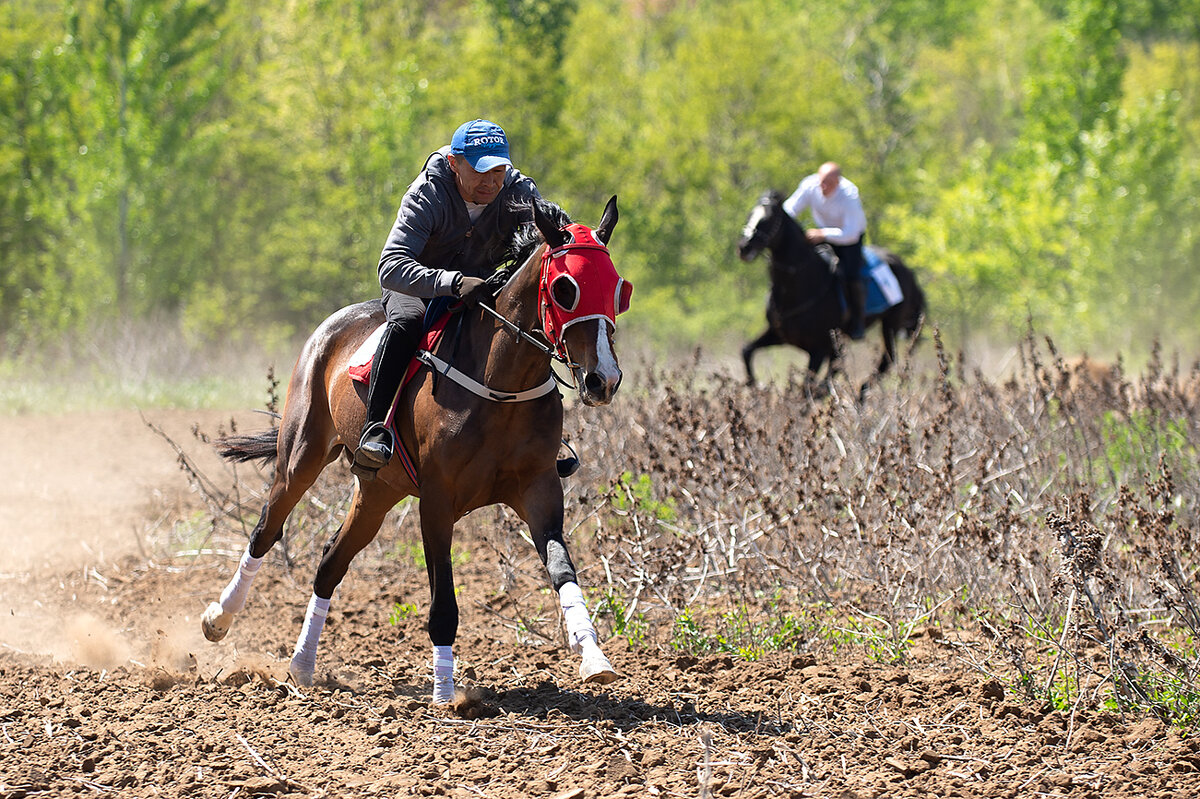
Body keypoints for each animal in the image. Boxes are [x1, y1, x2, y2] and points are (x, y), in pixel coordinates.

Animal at [199, 195, 628, 700]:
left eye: (618, 289)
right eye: (565, 289)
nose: (604, 379)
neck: (500, 383)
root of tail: (330, 327)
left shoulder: (539, 490)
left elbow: (563, 570)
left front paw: (594, 658)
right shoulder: (437, 499)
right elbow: (443, 601)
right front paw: (446, 693)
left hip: (378, 491)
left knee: (330, 563)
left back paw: (302, 667)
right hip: (301, 458)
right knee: (266, 531)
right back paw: (218, 619)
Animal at [734, 189, 921, 395]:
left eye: (768, 219)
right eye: (750, 215)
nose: (744, 247)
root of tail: (907, 270)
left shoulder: (818, 349)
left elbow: (806, 387)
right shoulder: (779, 334)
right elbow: (746, 350)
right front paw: (755, 386)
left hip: (890, 324)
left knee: (887, 360)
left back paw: (861, 392)